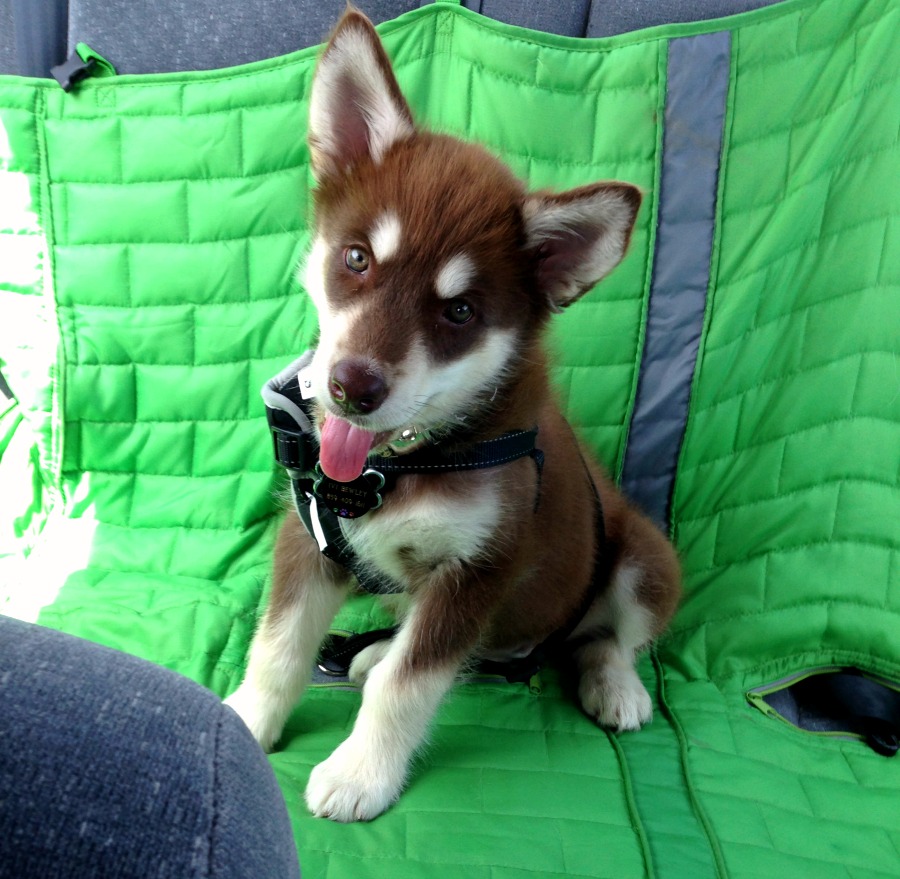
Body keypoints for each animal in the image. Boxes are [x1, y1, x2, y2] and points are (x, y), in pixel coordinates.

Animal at [227, 10, 684, 824]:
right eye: (356, 259)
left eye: (460, 312)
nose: (351, 387)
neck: (403, 462)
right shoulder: (309, 534)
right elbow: (278, 643)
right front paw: (247, 718)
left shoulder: (479, 567)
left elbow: (409, 687)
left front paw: (361, 772)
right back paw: (379, 646)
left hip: (644, 558)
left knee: (608, 637)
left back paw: (615, 684)